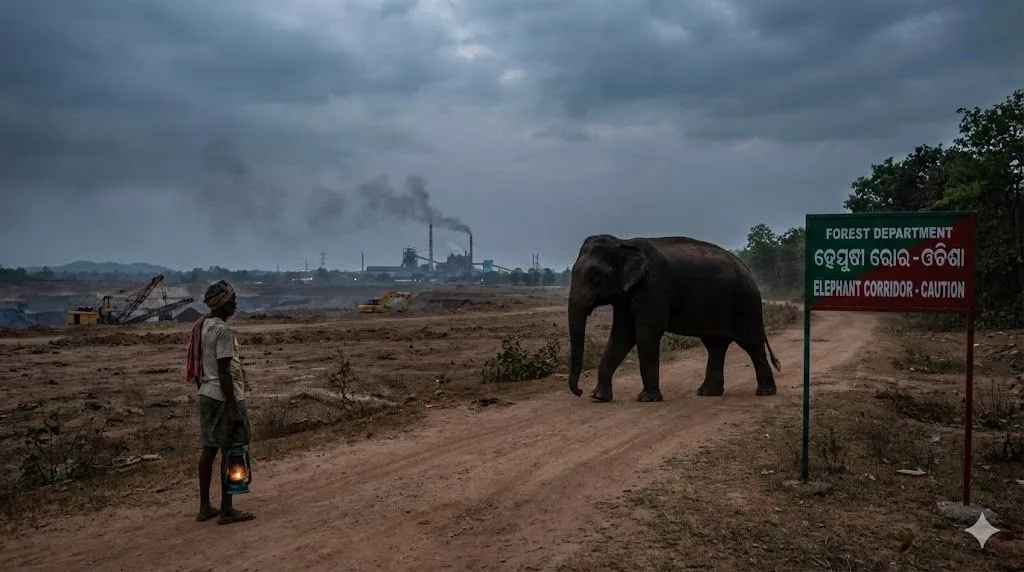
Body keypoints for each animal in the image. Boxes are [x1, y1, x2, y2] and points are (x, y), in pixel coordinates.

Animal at [567, 234, 782, 402]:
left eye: (594, 277)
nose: (579, 391)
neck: (622, 242)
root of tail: (749, 272)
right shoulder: (625, 296)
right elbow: (621, 335)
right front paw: (598, 397)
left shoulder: (654, 287)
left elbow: (647, 334)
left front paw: (647, 399)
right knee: (715, 346)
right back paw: (707, 393)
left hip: (745, 305)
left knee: (751, 343)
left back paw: (765, 393)